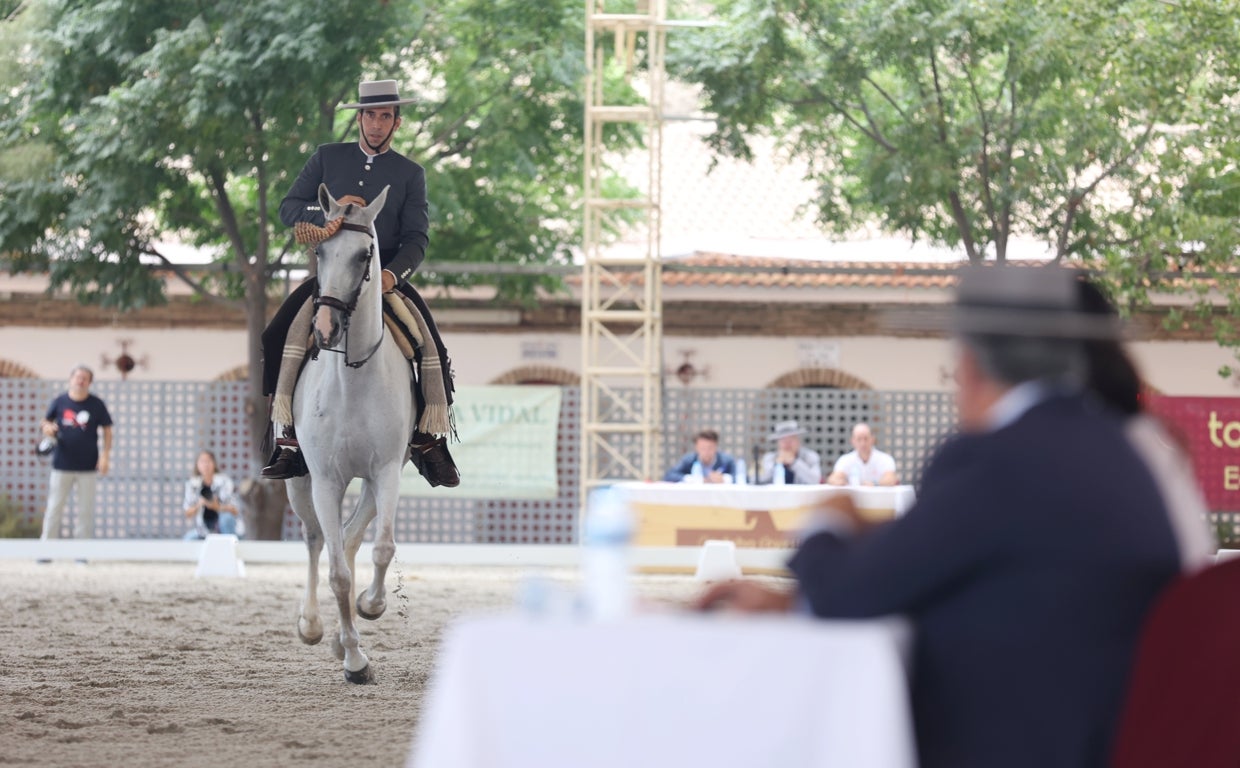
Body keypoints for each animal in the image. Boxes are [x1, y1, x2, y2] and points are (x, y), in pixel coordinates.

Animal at [283, 184, 414, 684]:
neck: (354, 374)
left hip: (377, 480)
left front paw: (370, 607)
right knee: (318, 540)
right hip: (299, 481)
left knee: (354, 538)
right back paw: (315, 627)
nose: (325, 328)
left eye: (364, 255)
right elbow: (336, 570)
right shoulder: (325, 479)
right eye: (320, 251)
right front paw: (356, 661)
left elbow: (382, 548)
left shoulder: (387, 471)